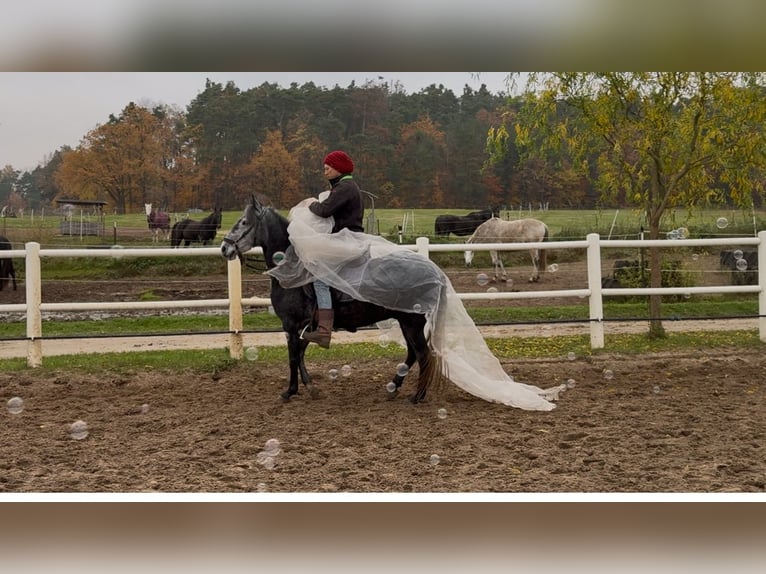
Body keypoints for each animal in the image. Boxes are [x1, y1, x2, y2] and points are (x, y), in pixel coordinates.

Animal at [220, 196, 442, 404]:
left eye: (244, 222)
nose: (224, 247)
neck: (290, 271)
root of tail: (432, 271)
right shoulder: (305, 328)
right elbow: (299, 355)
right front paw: (310, 387)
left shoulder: (291, 325)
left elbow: (293, 358)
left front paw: (290, 391)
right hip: (406, 323)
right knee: (413, 354)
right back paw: (395, 387)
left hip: (411, 323)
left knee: (423, 355)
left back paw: (417, 396)